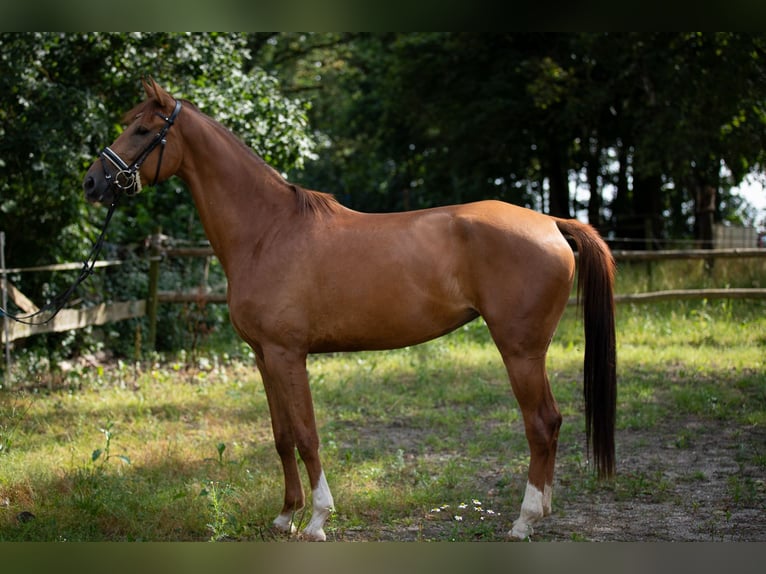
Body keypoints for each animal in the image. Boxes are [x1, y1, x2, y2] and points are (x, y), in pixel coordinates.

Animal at [82, 79, 616, 544]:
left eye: (143, 130)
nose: (92, 183)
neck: (267, 232)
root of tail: (550, 222)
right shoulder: (263, 356)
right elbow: (281, 436)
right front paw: (285, 516)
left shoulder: (288, 355)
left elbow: (307, 435)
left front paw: (317, 520)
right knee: (550, 424)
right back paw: (542, 510)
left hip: (520, 350)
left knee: (541, 423)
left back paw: (524, 521)